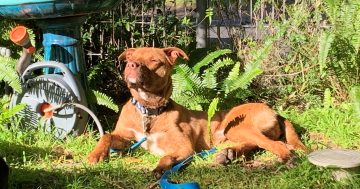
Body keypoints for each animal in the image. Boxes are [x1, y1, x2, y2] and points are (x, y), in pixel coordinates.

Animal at [88, 47, 306, 177]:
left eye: (155, 61)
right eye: (131, 58)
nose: (132, 65)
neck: (149, 110)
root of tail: (274, 111)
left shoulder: (184, 148)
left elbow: (168, 156)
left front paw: (161, 168)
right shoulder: (127, 137)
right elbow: (107, 135)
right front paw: (96, 155)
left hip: (236, 127)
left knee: (275, 144)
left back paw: (286, 159)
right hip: (232, 133)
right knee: (255, 143)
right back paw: (227, 154)